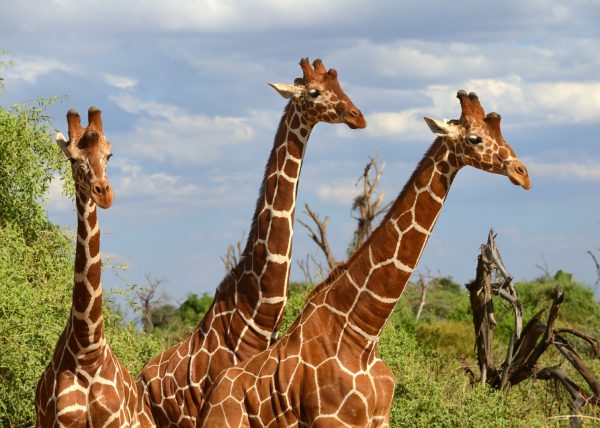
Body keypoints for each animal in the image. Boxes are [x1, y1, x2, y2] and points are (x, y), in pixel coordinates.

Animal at [34, 108, 139, 428]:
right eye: (72, 159)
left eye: (109, 155)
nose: (104, 193)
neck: (87, 348)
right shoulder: (61, 422)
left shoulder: (115, 421)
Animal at [197, 88, 528, 426]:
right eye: (475, 138)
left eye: (500, 133)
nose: (522, 174)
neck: (362, 335)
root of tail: (211, 397)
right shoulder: (332, 419)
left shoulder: (381, 417)